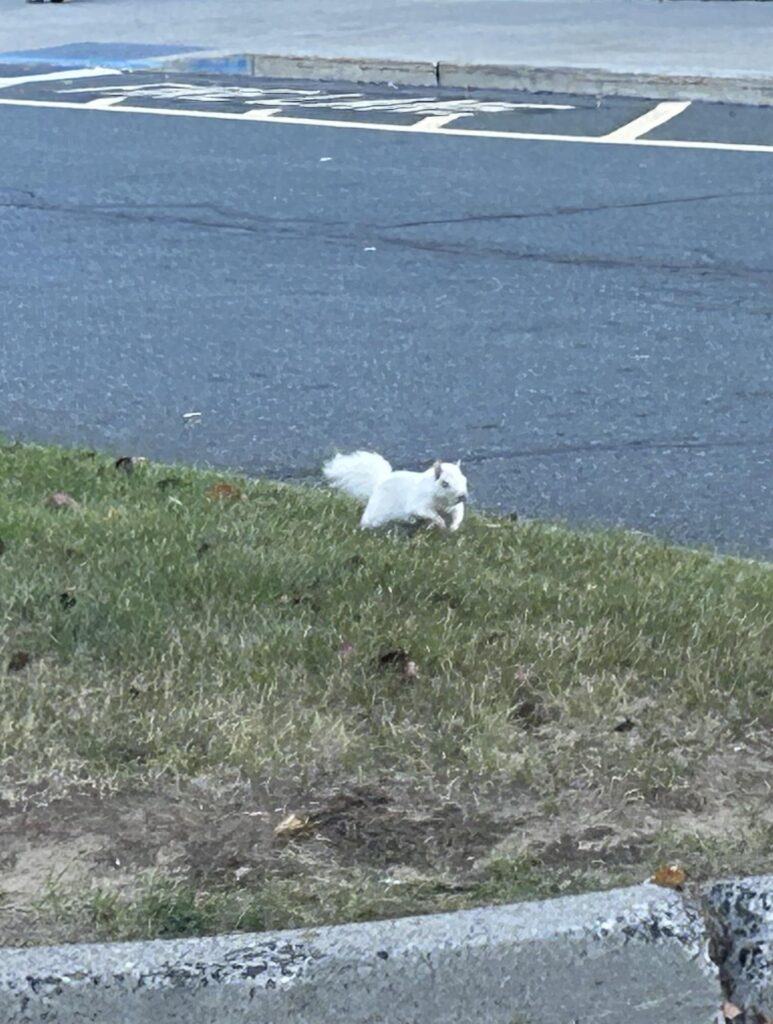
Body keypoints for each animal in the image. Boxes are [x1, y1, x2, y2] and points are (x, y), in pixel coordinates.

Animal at [323, 450, 468, 532]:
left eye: (464, 479)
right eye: (445, 483)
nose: (462, 496)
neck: (442, 501)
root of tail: (378, 483)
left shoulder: (454, 506)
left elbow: (458, 514)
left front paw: (453, 527)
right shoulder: (419, 502)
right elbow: (427, 512)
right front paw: (441, 523)